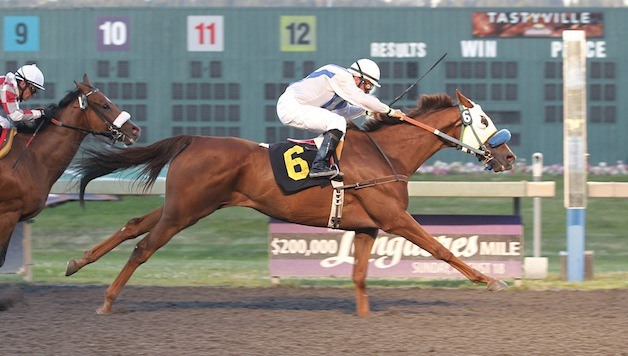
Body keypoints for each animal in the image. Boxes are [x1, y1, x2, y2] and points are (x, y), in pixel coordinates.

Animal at [65, 88, 516, 314]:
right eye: (484, 120)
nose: (509, 157)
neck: (385, 155)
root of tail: (194, 139)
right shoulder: (394, 218)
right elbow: (442, 249)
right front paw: (491, 280)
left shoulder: (367, 227)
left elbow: (359, 276)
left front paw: (365, 317)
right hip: (185, 211)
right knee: (142, 247)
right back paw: (106, 301)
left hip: (182, 205)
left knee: (133, 225)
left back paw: (77, 262)